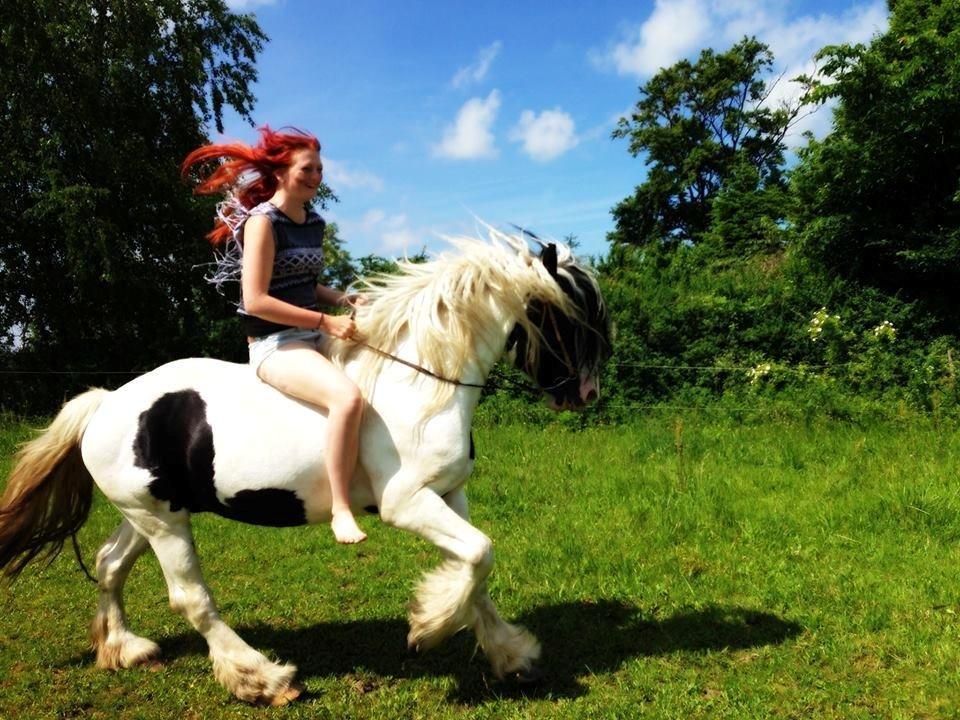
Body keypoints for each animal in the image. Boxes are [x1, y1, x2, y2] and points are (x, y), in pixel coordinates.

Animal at [0, 229, 612, 704]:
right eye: (571, 317)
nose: (585, 393)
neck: (418, 383)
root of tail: (105, 403)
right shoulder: (407, 504)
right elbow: (480, 555)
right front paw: (428, 627)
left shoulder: (448, 496)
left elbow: (475, 569)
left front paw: (511, 656)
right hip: (164, 524)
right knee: (191, 599)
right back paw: (264, 680)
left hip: (151, 513)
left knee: (109, 565)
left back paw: (124, 649)